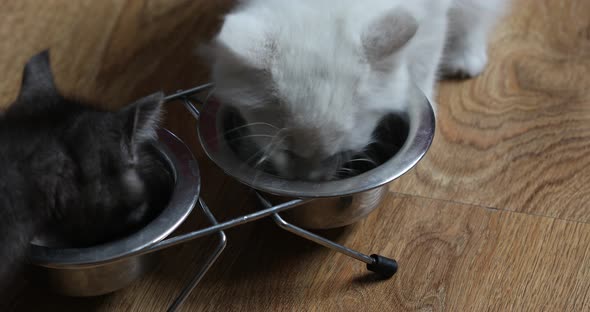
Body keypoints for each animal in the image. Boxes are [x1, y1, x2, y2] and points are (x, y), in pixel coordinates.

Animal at [204, 0, 508, 180]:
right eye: (286, 153)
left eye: (340, 153)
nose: (312, 180)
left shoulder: (433, 17)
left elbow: (425, 63)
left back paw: (466, 58)